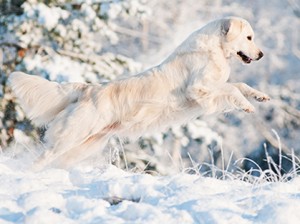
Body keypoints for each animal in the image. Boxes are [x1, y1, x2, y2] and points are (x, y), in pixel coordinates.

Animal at [8, 16, 270, 171]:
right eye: (249, 37)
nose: (261, 55)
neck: (214, 49)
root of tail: (87, 88)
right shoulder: (198, 89)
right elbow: (231, 87)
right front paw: (246, 105)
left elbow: (240, 85)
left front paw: (259, 96)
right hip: (70, 137)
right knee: (41, 159)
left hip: (85, 145)